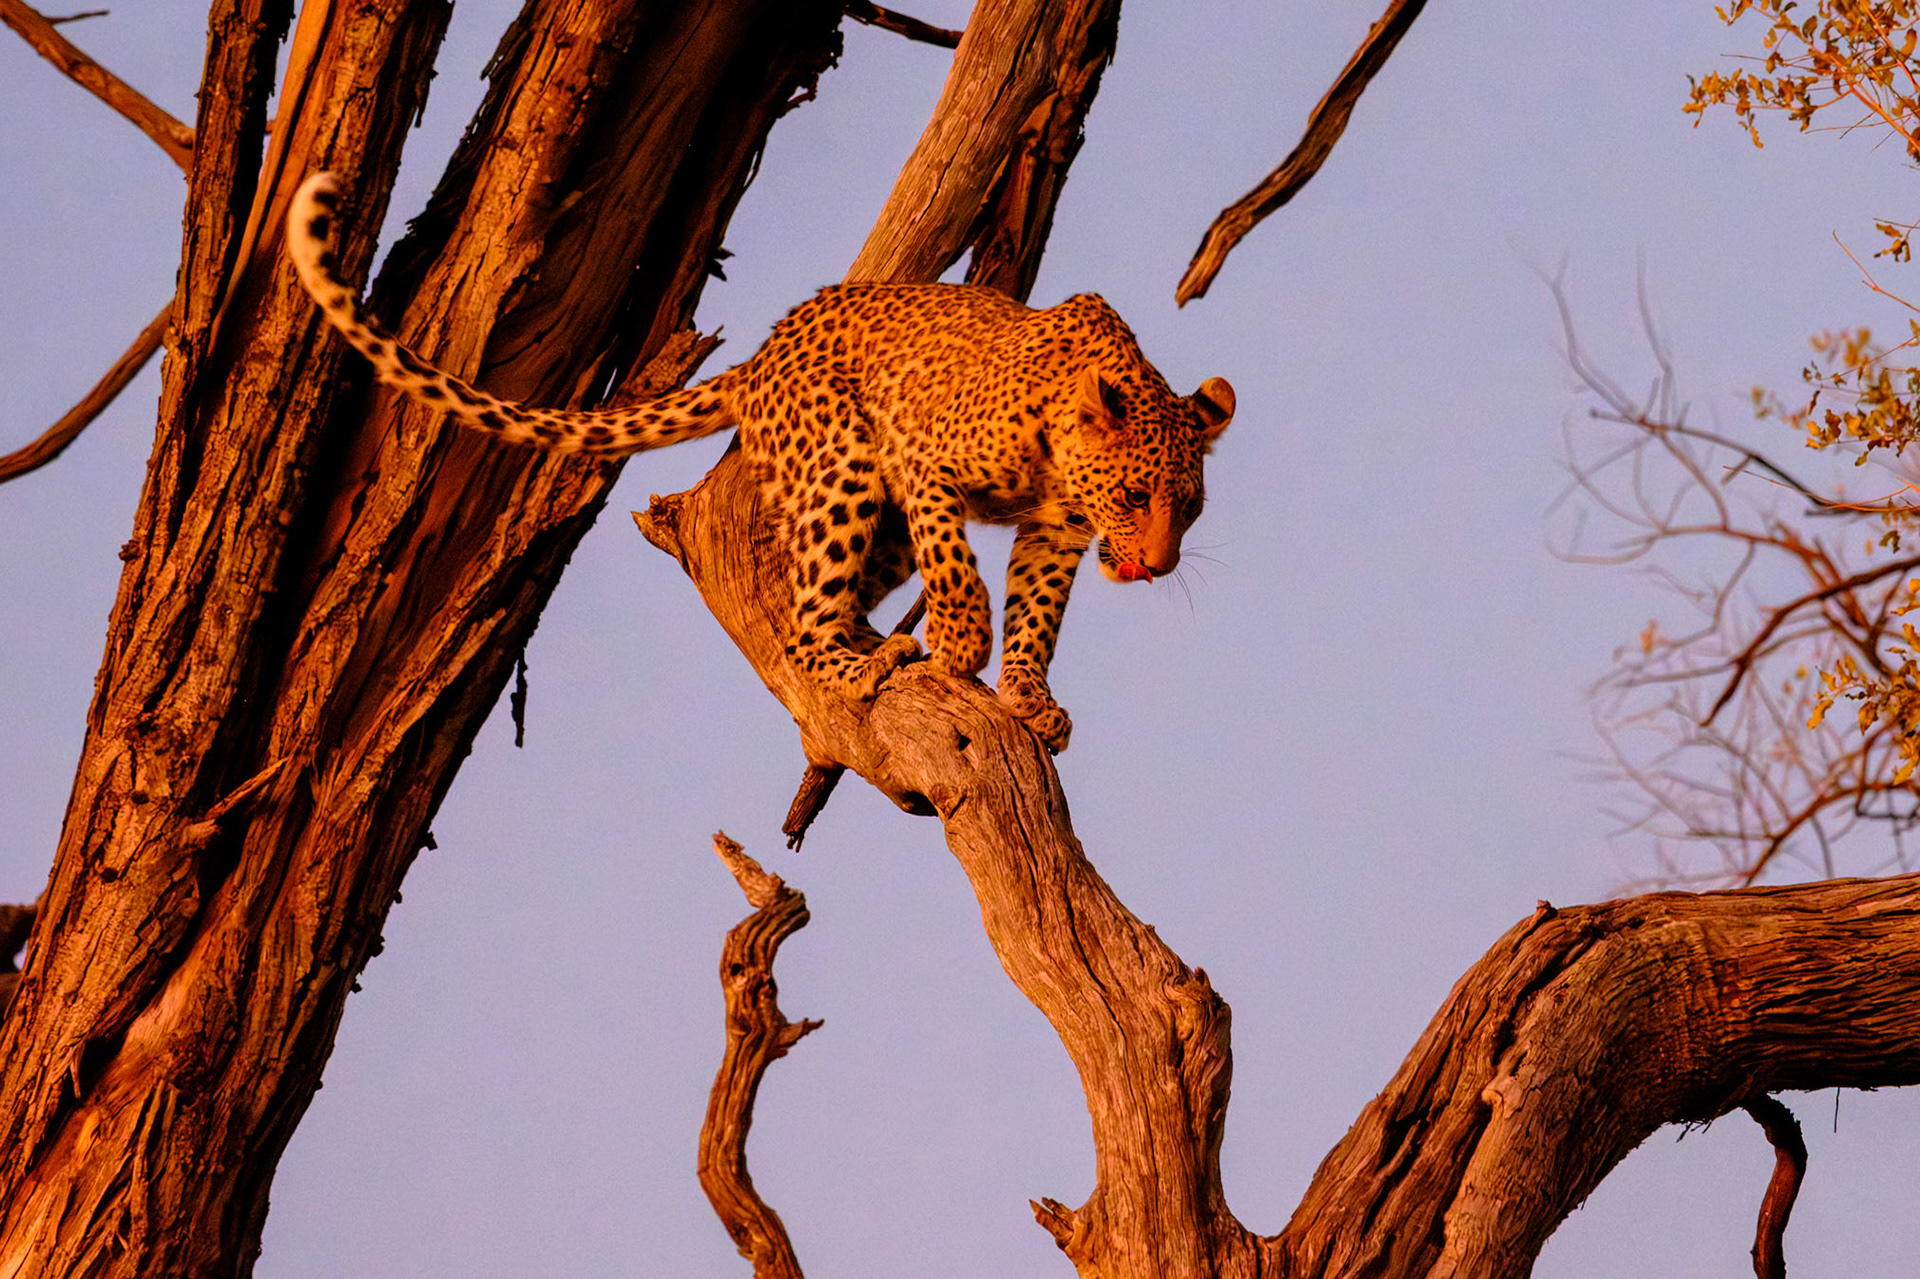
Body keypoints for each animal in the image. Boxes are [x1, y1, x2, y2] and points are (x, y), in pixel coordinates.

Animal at [286, 171, 1235, 753]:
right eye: (1137, 494)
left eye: (1189, 508)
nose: (1158, 565)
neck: (1059, 458)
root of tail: (765, 350)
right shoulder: (921, 458)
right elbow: (962, 570)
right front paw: (965, 645)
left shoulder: (1054, 534)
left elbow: (1039, 614)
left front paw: (1031, 697)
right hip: (849, 463)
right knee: (803, 630)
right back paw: (863, 662)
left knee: (837, 597)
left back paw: (878, 642)